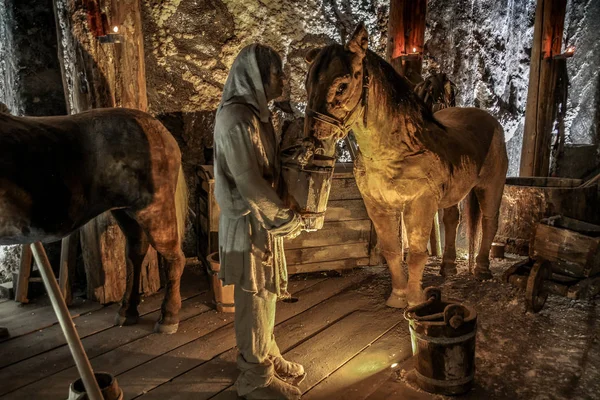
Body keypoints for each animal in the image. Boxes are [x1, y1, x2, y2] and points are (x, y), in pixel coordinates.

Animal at [0, 108, 188, 332]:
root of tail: (159, 129)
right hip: (125, 211)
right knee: (135, 254)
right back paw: (127, 312)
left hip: (154, 210)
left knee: (174, 259)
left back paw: (168, 317)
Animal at [304, 24, 506, 306]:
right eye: (307, 83)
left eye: (342, 85)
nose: (313, 138)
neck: (395, 150)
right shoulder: (378, 206)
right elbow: (391, 250)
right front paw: (398, 296)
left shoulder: (420, 205)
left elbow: (418, 252)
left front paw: (415, 300)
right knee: (451, 220)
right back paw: (448, 267)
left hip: (491, 186)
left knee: (489, 221)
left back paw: (482, 270)